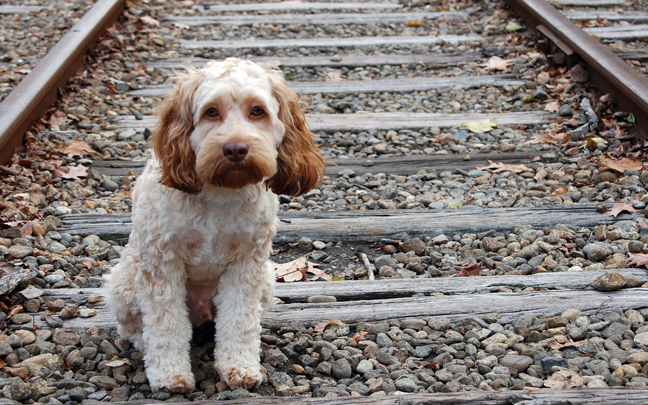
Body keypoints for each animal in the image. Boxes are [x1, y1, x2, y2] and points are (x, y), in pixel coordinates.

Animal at [105, 58, 324, 392]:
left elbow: (239, 322)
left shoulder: (247, 265)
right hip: (124, 283)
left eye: (257, 111)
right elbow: (165, 325)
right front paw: (170, 375)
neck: (220, 193)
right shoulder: (161, 265)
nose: (235, 148)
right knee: (135, 329)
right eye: (211, 112)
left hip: (267, 280)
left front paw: (239, 367)